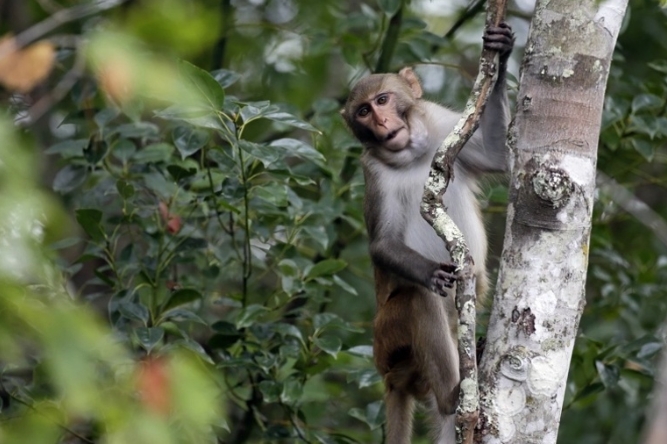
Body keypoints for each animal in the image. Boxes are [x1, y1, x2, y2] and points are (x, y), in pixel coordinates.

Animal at [342, 23, 516, 444]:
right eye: (363, 111)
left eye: (383, 100)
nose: (382, 124)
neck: (412, 154)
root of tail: (391, 377)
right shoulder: (374, 172)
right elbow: (383, 243)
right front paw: (430, 272)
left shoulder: (442, 124)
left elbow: (497, 157)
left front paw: (501, 53)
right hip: (389, 339)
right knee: (418, 301)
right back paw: (453, 396)